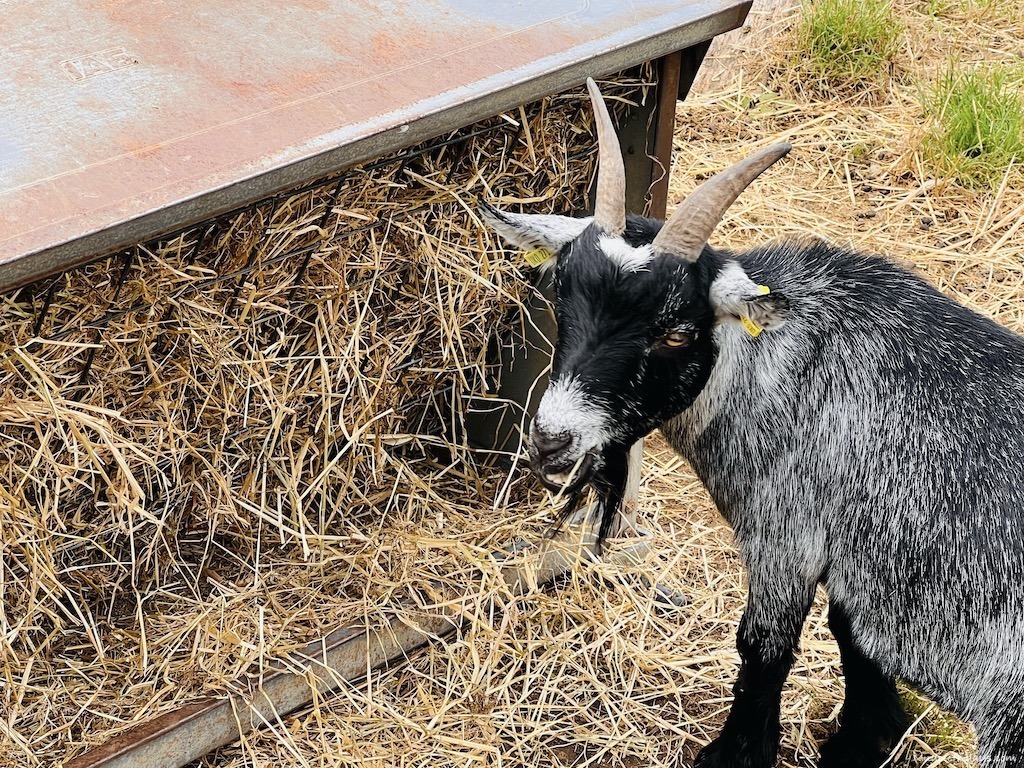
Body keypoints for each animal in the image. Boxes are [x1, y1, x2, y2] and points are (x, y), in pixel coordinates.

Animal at [480, 79, 1024, 767]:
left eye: (676, 332)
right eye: (560, 293)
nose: (552, 441)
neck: (786, 367)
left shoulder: (785, 534)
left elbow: (762, 647)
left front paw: (737, 752)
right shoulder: (850, 560)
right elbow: (851, 633)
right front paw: (866, 735)